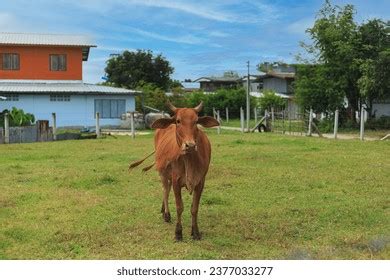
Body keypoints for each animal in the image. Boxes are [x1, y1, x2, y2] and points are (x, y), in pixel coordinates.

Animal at [133, 101, 219, 241]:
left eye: (196, 121)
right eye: (178, 121)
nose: (190, 145)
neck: (189, 160)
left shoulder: (200, 182)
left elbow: (194, 208)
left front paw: (195, 232)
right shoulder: (176, 181)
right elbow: (179, 207)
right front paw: (178, 232)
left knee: (166, 190)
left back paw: (163, 210)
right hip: (162, 173)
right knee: (165, 191)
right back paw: (166, 214)